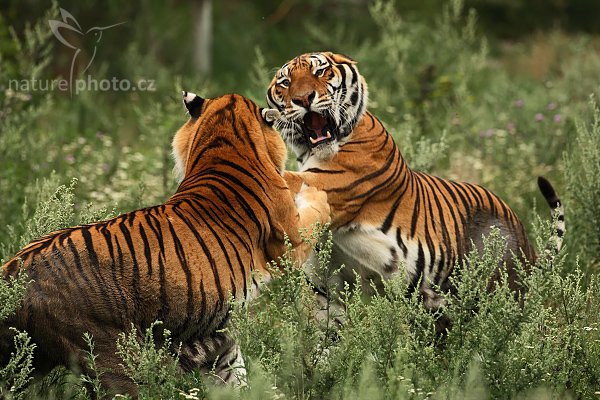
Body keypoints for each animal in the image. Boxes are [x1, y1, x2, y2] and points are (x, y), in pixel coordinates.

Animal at [0, 92, 328, 396]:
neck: (223, 145)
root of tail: (15, 270)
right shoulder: (291, 242)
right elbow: (316, 211)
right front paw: (318, 189)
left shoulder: (219, 336)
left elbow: (234, 374)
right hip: (112, 360)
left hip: (26, 361)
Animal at [264, 52, 564, 322]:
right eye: (286, 82)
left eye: (320, 72)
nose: (303, 99)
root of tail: (525, 238)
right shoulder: (326, 288)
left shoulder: (326, 186)